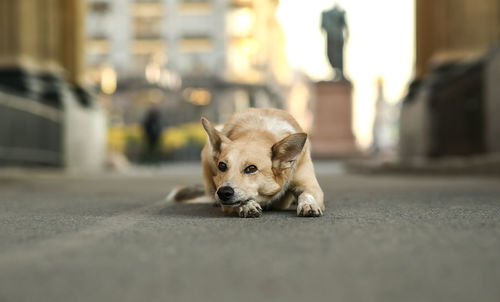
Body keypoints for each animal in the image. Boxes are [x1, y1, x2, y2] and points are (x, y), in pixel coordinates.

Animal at [168, 107, 324, 218]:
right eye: (222, 166)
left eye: (251, 168)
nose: (224, 192)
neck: (259, 132)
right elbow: (239, 201)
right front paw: (247, 205)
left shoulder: (310, 185)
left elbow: (307, 194)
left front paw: (309, 205)